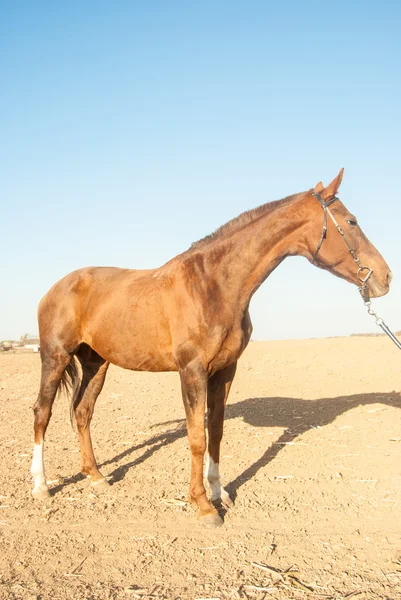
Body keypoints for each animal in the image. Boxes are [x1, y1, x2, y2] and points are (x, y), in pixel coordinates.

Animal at [30, 169, 390, 524]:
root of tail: (56, 288)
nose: (384, 277)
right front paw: (203, 506)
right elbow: (196, 437)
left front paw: (219, 493)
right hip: (55, 357)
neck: (213, 285)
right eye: (352, 221)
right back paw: (41, 486)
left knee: (82, 412)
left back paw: (95, 475)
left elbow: (215, 432)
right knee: (42, 412)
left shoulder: (225, 370)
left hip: (96, 364)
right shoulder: (192, 371)